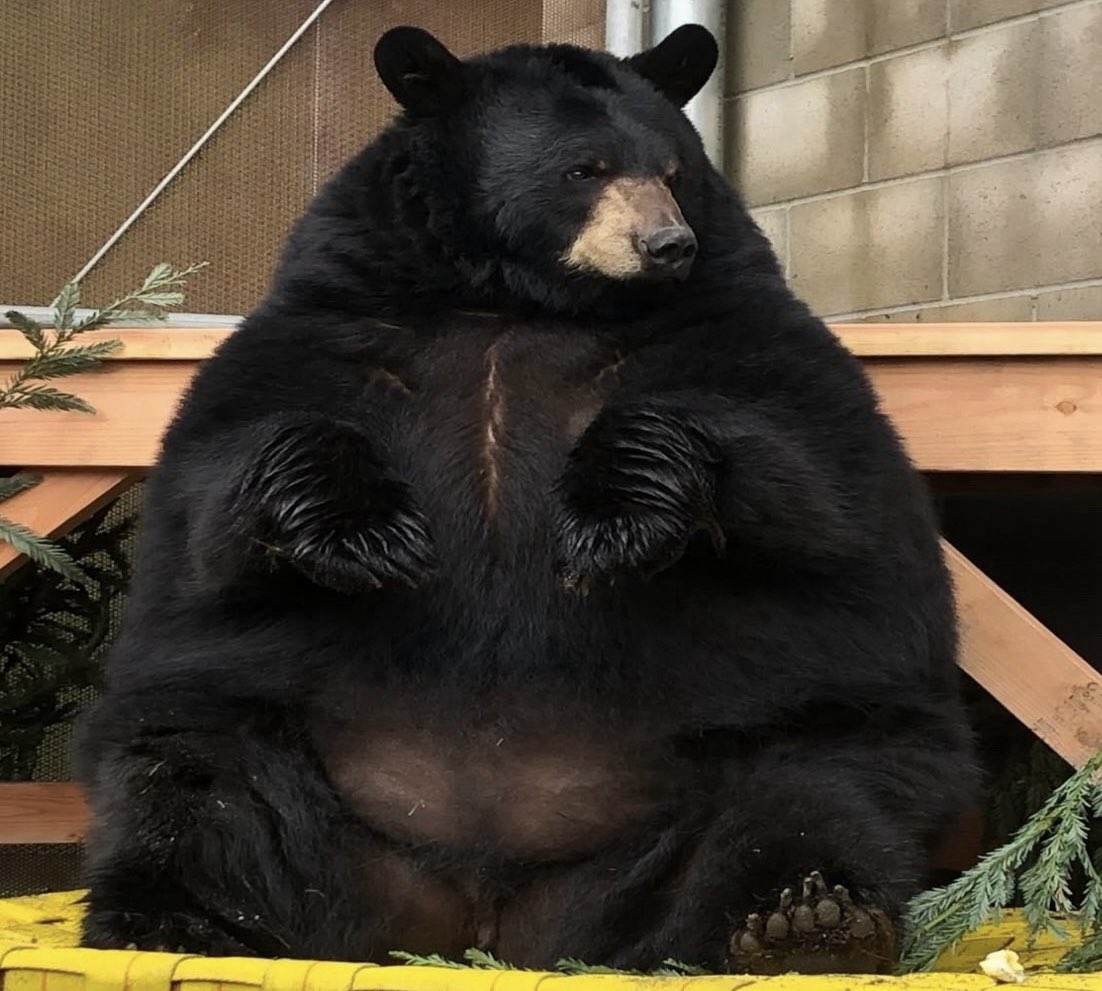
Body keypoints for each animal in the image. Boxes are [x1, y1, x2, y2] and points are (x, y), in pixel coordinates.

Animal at [75, 23, 978, 975]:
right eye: (584, 168)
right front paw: (373, 536)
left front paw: (609, 524)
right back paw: (168, 919)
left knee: (817, 793)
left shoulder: (731, 323)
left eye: (673, 168)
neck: (516, 299)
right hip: (256, 740)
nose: (668, 244)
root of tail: (490, 919)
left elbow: (814, 474)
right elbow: (221, 488)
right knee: (190, 784)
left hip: (789, 732)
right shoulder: (335, 320)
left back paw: (805, 919)